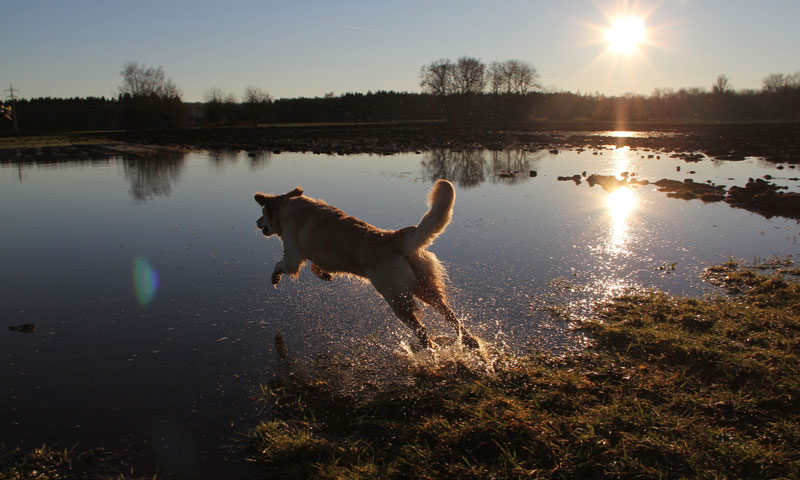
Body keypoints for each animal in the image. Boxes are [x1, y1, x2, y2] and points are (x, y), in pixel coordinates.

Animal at [253, 179, 478, 348]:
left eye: (262, 214)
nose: (256, 223)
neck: (289, 208)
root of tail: (396, 237)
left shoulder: (292, 256)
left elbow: (280, 264)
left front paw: (275, 277)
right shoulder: (320, 256)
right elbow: (315, 266)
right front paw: (325, 275)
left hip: (397, 300)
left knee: (422, 331)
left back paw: (430, 353)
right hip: (426, 289)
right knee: (452, 317)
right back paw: (472, 343)